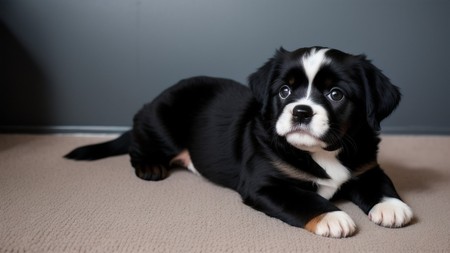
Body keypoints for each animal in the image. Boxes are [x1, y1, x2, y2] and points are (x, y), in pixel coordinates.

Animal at [65, 46, 414, 238]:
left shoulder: (365, 166)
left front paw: (393, 207)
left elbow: (381, 183)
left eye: (336, 94)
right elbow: (304, 199)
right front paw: (333, 216)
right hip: (160, 122)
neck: (323, 152)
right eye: (285, 91)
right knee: (138, 144)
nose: (301, 110)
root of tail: (154, 100)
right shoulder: (265, 184)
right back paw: (150, 165)